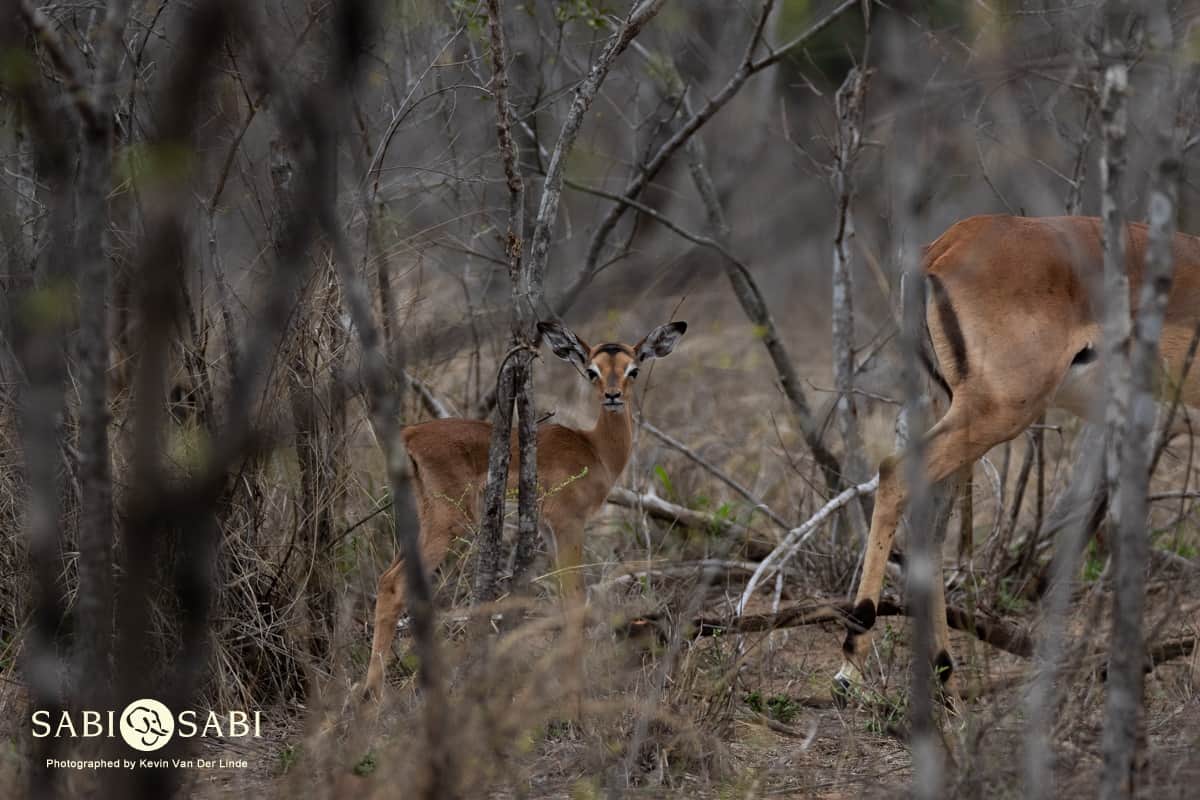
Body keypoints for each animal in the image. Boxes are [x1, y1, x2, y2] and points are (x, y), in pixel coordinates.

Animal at [361, 319, 688, 698]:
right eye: (592, 370)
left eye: (633, 369)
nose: (612, 396)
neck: (594, 449)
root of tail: (409, 434)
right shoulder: (568, 523)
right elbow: (576, 598)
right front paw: (574, 692)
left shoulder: (547, 528)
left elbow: (564, 598)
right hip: (449, 522)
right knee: (394, 584)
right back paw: (374, 694)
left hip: (422, 519)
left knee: (390, 581)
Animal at [835, 214, 1200, 704]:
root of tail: (945, 245)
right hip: (998, 411)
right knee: (894, 475)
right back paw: (851, 665)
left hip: (953, 405)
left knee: (932, 524)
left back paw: (946, 680)